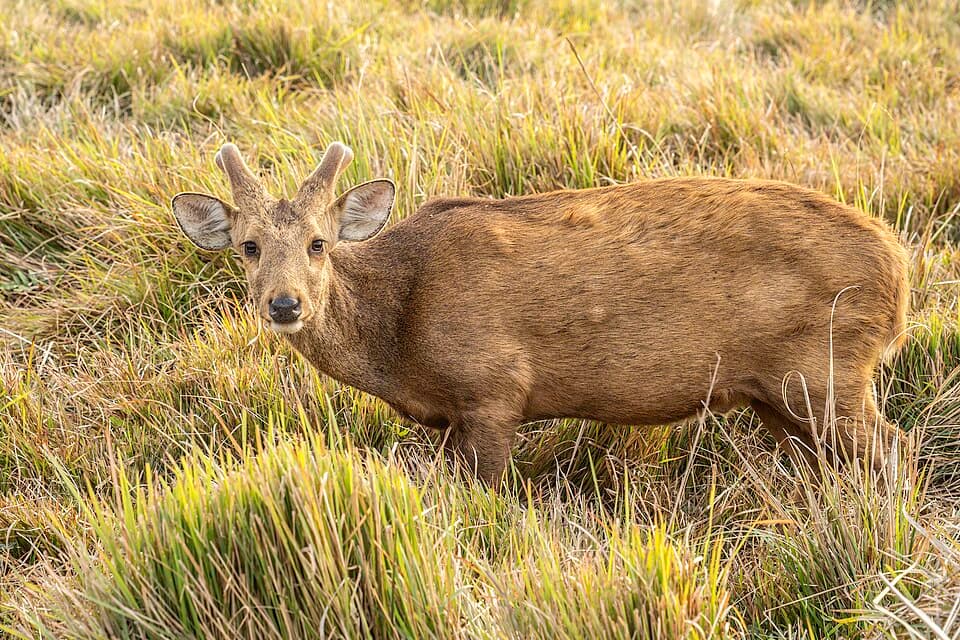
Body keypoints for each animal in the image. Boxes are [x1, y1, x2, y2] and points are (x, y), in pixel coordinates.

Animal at [172, 141, 910, 485]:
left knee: (891, 449)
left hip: (827, 368)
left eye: (318, 243)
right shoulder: (450, 417)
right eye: (248, 246)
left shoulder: (494, 387)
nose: (284, 303)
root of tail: (899, 275)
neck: (401, 340)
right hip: (777, 393)